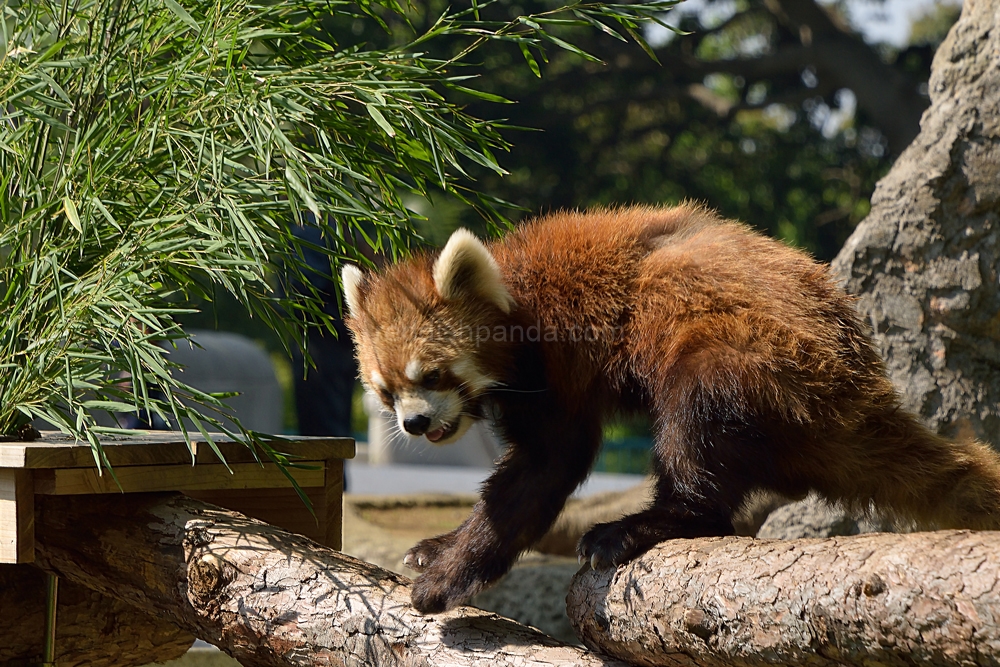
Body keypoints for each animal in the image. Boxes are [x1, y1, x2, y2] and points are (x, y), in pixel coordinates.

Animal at [340, 205, 1000, 616]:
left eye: (431, 375)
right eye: (385, 391)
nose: (414, 423)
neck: (518, 289)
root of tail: (856, 380)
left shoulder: (557, 365)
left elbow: (546, 468)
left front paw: (444, 577)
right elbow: (529, 480)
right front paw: (439, 546)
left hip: (742, 356)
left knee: (696, 436)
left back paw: (640, 526)